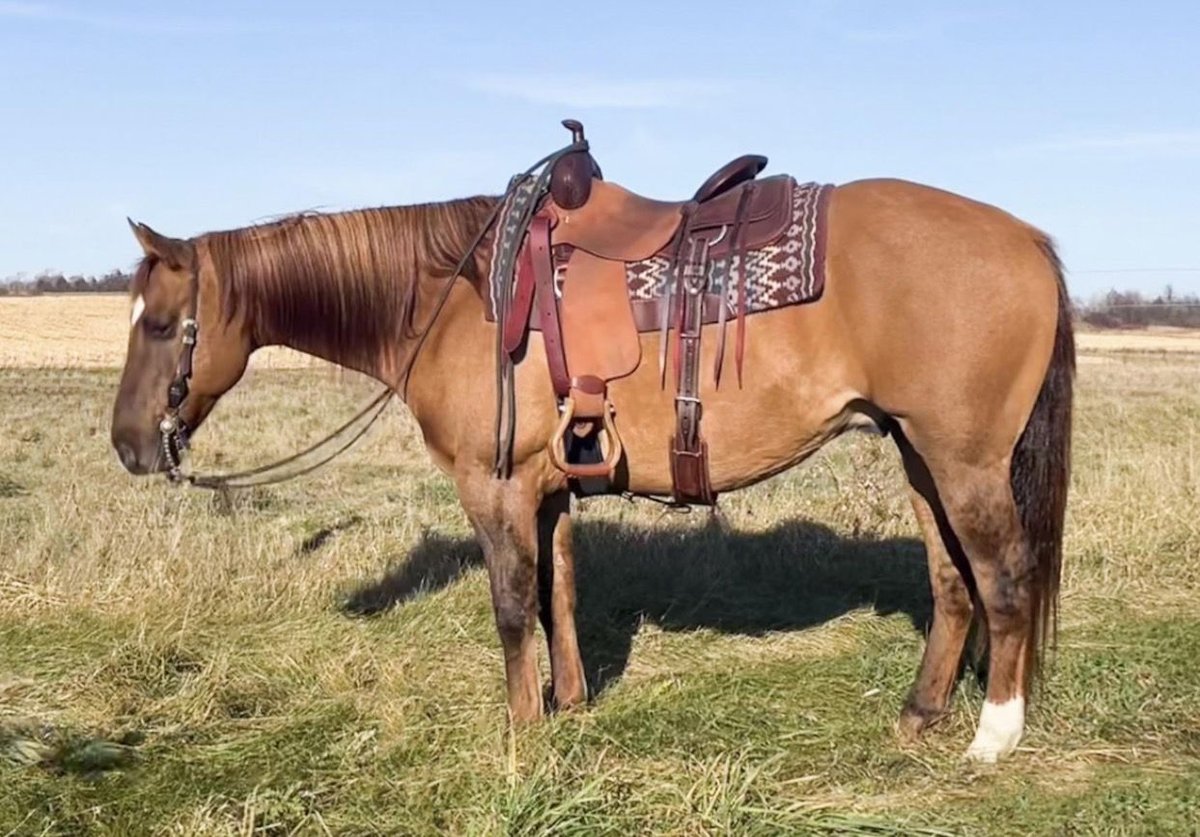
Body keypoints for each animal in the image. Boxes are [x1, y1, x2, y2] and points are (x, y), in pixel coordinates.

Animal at [109, 158, 1074, 764]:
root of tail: (1027, 237)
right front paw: (567, 704)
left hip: (965, 463)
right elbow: (559, 595)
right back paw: (920, 713)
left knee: (1005, 581)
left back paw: (994, 736)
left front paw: (520, 730)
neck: (452, 299)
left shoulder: (495, 488)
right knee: (952, 582)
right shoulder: (549, 491)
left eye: (159, 324)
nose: (127, 444)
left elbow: (511, 607)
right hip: (919, 456)